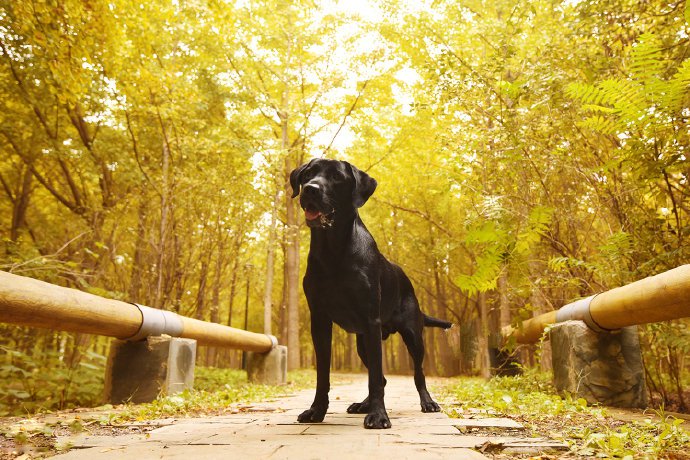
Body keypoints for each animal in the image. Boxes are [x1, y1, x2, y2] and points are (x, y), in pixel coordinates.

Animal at [288, 159, 452, 432]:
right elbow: (324, 375)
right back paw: (362, 405)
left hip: (412, 336)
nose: (310, 189)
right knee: (383, 377)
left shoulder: (370, 320)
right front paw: (316, 411)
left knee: (417, 374)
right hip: (362, 343)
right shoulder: (319, 321)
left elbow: (375, 377)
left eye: (336, 177)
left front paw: (378, 416)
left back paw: (427, 402)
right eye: (308, 174)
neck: (333, 249)